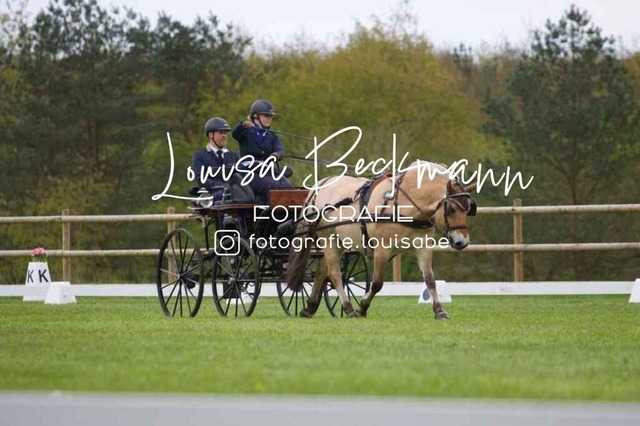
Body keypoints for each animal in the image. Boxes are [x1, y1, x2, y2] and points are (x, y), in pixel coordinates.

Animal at [284, 160, 477, 319]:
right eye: (451, 209)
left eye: (469, 209)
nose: (462, 242)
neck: (405, 201)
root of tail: (321, 185)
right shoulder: (382, 248)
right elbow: (377, 283)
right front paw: (362, 308)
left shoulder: (422, 245)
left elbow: (429, 279)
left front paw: (439, 310)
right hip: (328, 239)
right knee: (335, 274)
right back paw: (348, 309)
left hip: (337, 242)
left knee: (321, 271)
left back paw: (309, 308)